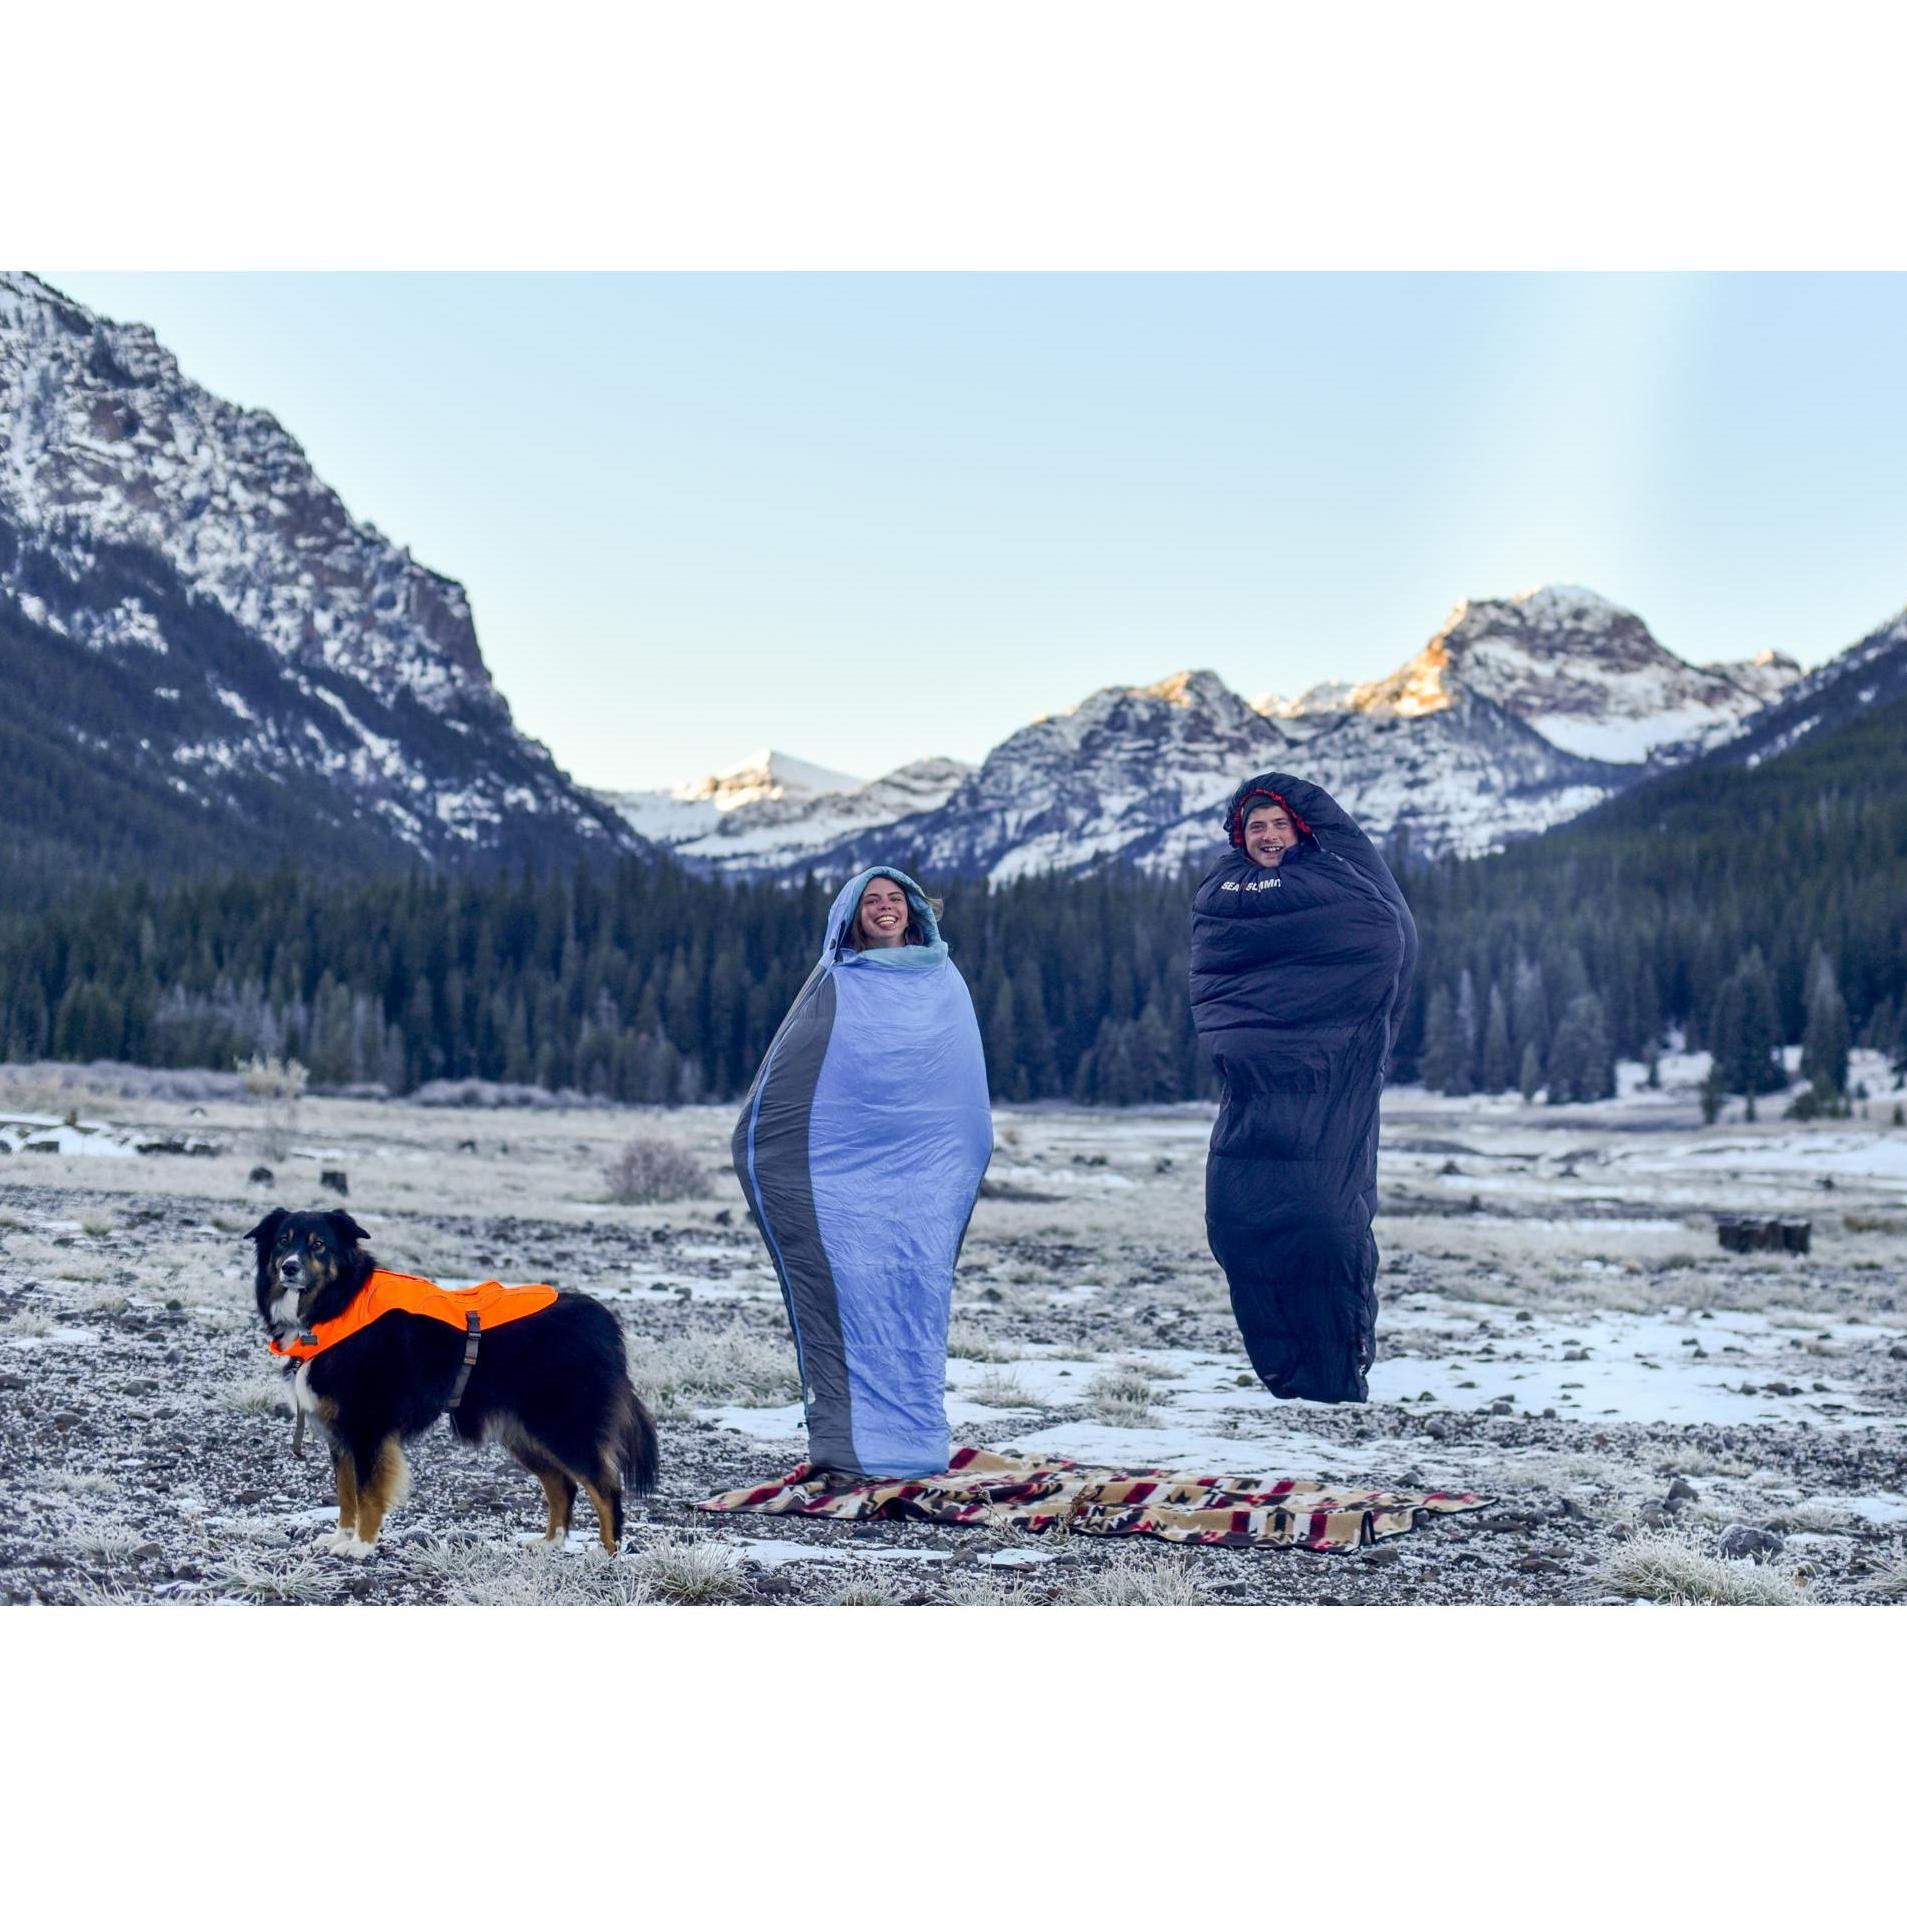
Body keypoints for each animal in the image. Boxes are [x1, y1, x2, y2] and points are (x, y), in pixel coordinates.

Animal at [253, 1212, 659, 1556]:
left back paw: (607, 1553)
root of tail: (603, 1320)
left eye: (318, 1244)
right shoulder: (341, 1433)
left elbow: (366, 1493)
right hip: (523, 1431)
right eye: (282, 1241)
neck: (340, 1305)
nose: (289, 1267)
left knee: (605, 1487)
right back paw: (550, 1543)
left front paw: (361, 1546)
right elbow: (345, 1492)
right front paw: (341, 1537)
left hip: (563, 1426)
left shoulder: (367, 1429)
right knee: (563, 1484)